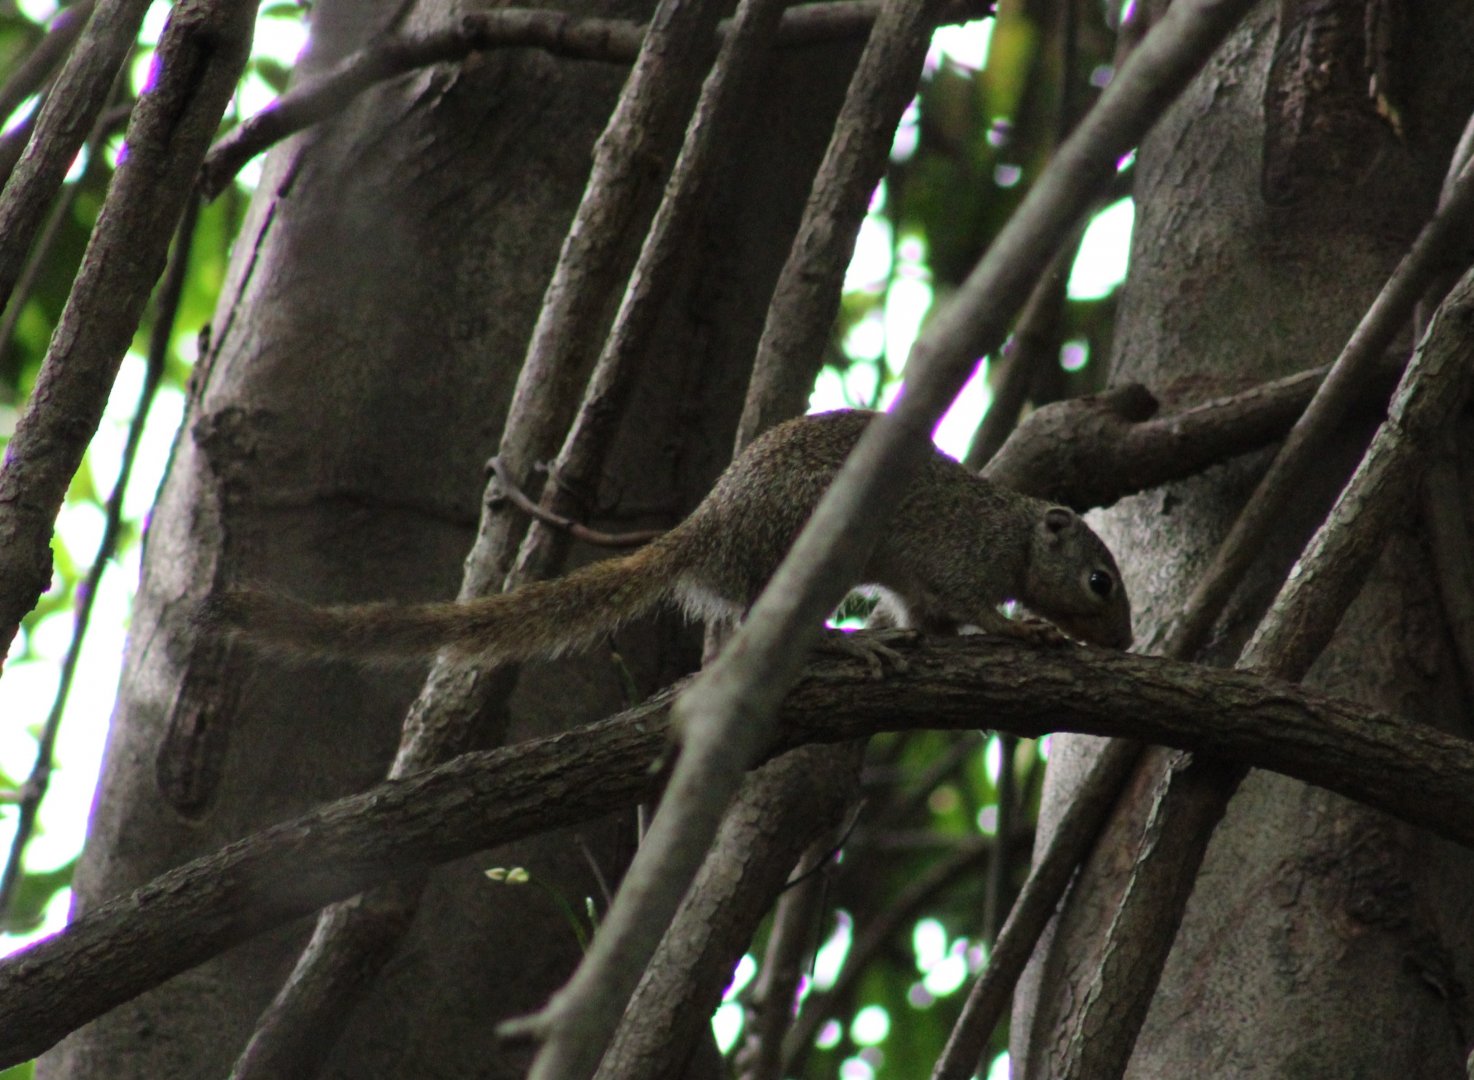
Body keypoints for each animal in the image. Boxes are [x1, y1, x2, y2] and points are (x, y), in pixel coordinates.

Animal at [206, 409, 1133, 664]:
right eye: (1100, 582)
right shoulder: (962, 555)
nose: (1124, 642)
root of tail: (709, 529)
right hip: (803, 543)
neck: (1013, 528)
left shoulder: (919, 583)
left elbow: (929, 614)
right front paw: (1029, 629)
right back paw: (836, 645)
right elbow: (976, 609)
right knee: (753, 619)